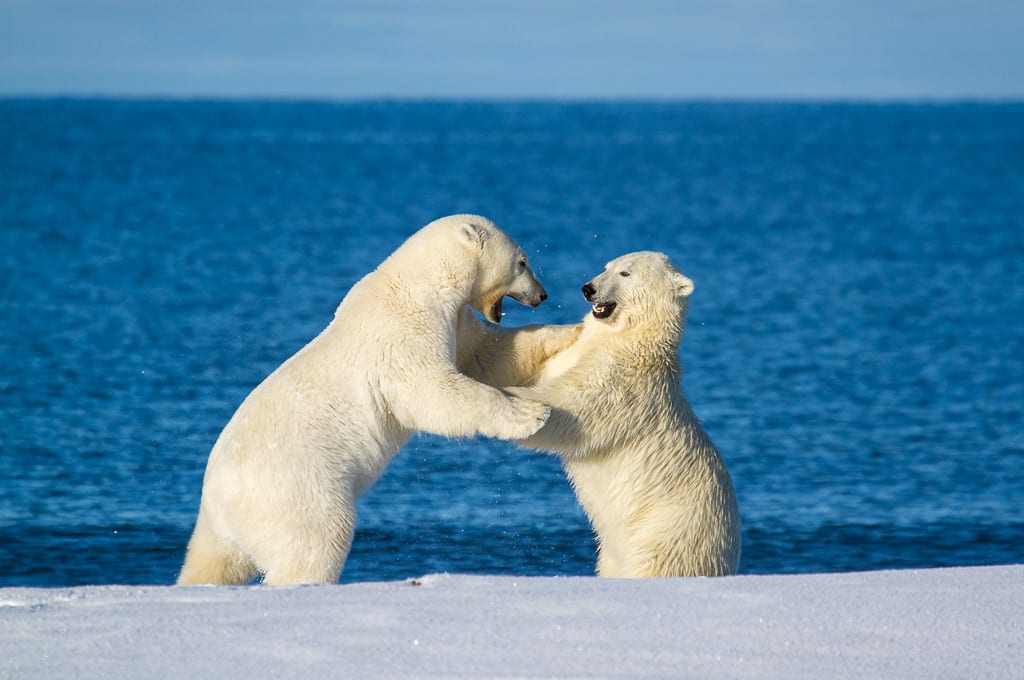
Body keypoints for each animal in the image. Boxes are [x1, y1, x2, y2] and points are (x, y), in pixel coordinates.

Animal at [178, 214, 577, 585]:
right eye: (522, 262)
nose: (542, 295)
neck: (419, 284)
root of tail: (219, 499)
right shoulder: (405, 333)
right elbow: (434, 392)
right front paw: (532, 413)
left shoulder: (454, 322)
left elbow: (488, 354)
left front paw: (572, 331)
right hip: (296, 490)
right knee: (318, 540)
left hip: (219, 531)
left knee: (209, 563)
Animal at [491, 251, 741, 577]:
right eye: (606, 266)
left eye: (625, 273)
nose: (588, 288)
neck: (631, 338)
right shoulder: (579, 352)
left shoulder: (627, 379)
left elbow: (572, 406)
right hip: (614, 552)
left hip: (668, 533)